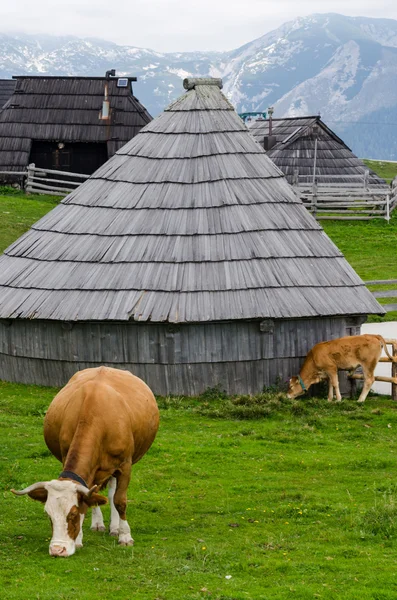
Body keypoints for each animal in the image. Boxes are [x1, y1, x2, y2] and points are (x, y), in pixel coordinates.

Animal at [11, 366, 159, 556]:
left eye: (72, 514)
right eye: (48, 515)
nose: (57, 550)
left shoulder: (125, 466)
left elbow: (119, 501)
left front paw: (125, 536)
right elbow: (89, 498)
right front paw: (79, 540)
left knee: (111, 493)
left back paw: (115, 527)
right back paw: (98, 523)